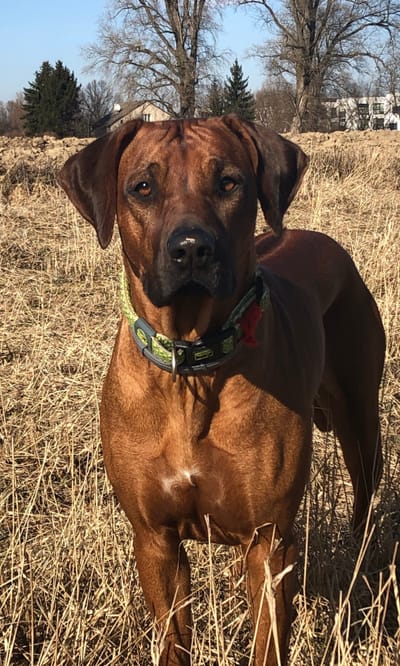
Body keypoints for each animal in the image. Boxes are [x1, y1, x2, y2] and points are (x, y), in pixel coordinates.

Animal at [57, 116, 386, 660]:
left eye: (229, 183)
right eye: (142, 187)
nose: (191, 249)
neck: (192, 369)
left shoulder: (271, 540)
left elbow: (268, 640)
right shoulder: (155, 540)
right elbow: (172, 637)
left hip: (359, 419)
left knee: (365, 492)